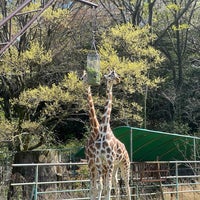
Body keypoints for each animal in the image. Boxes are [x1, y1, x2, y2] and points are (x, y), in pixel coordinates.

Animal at [90, 69, 130, 199]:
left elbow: (107, 187)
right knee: (116, 184)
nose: (119, 79)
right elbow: (101, 186)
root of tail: (126, 150)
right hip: (115, 166)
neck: (103, 131)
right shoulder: (99, 161)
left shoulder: (109, 160)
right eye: (112, 74)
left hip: (124, 164)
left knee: (127, 185)